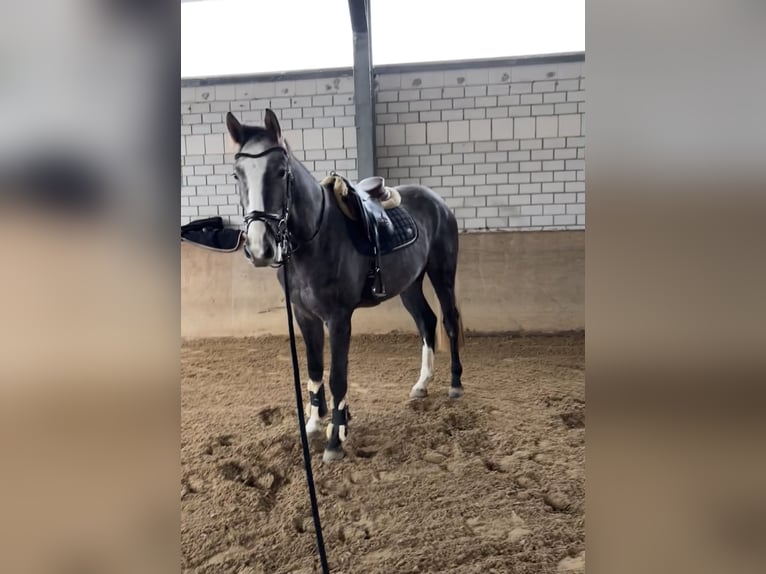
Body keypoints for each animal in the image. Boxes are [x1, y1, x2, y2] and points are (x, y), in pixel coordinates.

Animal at [226, 109, 464, 462]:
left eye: (281, 171)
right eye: (237, 174)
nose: (259, 248)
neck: (315, 238)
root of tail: (438, 203)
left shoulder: (338, 319)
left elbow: (337, 376)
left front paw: (335, 440)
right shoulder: (304, 316)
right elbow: (314, 369)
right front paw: (314, 423)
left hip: (442, 274)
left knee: (448, 321)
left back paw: (455, 384)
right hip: (409, 284)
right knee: (427, 322)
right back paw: (421, 385)